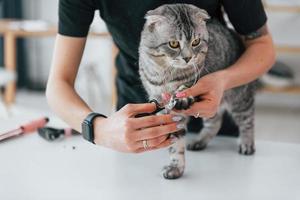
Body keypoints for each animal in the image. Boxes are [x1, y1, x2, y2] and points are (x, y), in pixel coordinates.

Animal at [138, 3, 255, 180]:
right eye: (173, 43)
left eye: (196, 42)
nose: (188, 58)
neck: (164, 74)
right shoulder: (163, 105)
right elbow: (176, 141)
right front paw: (175, 166)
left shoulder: (194, 84)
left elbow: (184, 91)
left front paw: (181, 97)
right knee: (214, 123)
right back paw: (200, 141)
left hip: (240, 99)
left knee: (247, 121)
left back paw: (247, 144)